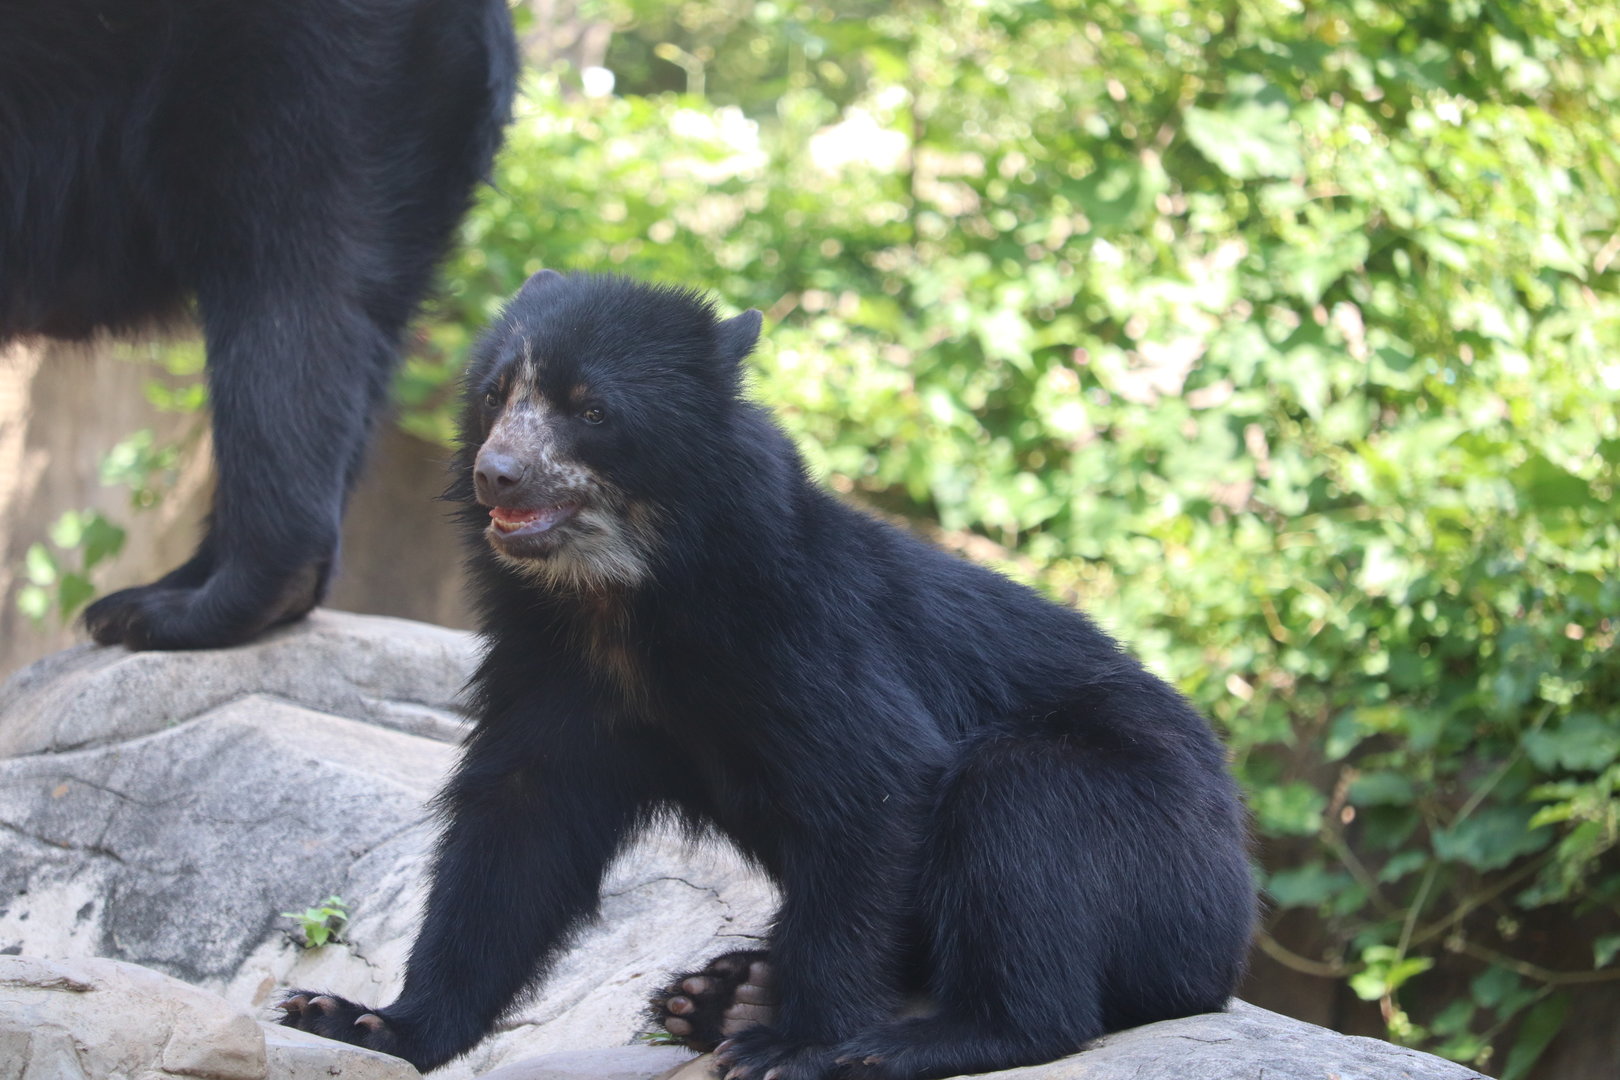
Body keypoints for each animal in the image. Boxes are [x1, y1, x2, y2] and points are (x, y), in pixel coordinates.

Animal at [278, 270, 1257, 1080]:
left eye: (591, 411)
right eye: (493, 397)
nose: (498, 475)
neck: (623, 596)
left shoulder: (800, 634)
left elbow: (874, 785)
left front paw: (793, 1045)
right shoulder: (549, 666)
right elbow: (516, 827)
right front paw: (360, 1019)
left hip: (1157, 843)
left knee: (1025, 805)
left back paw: (907, 1035)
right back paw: (724, 994)